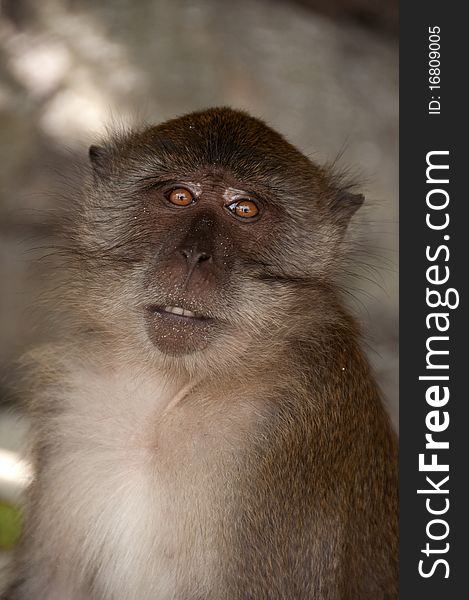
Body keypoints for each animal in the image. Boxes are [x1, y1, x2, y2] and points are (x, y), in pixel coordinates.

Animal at [4, 108, 398, 600]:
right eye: (179, 196)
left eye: (244, 209)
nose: (194, 255)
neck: (169, 396)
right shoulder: (71, 403)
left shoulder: (299, 433)